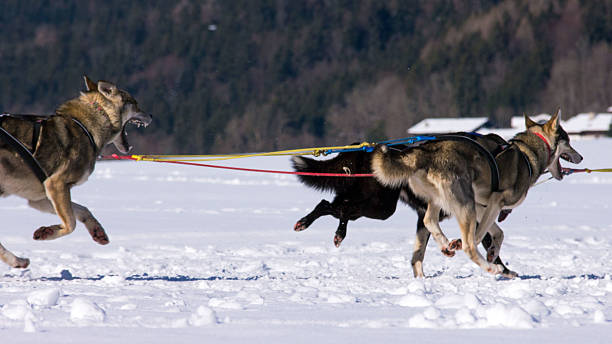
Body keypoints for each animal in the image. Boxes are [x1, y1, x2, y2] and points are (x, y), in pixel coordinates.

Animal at [0, 76, 152, 268]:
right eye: (135, 103)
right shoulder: (55, 185)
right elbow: (71, 224)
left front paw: (97, 231)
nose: (151, 116)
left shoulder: (39, 197)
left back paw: (16, 260)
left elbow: (82, 210)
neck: (87, 127)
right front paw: (47, 232)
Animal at [294, 133, 512, 278]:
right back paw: (332, 231)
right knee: (341, 209)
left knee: (329, 206)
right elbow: (488, 244)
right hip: (382, 207)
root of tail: (360, 151)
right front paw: (505, 271)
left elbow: (419, 254)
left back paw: (313, 225)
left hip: (364, 200)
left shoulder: (423, 219)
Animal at [372, 111, 584, 278]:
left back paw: (447, 244)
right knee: (468, 245)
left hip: (442, 200)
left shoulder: (484, 205)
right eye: (569, 141)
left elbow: (498, 233)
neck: (527, 154)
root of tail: (426, 151)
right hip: (465, 205)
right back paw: (490, 267)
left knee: (429, 220)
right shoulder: (495, 201)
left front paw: (492, 252)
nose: (581, 157)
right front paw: (486, 256)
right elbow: (479, 234)